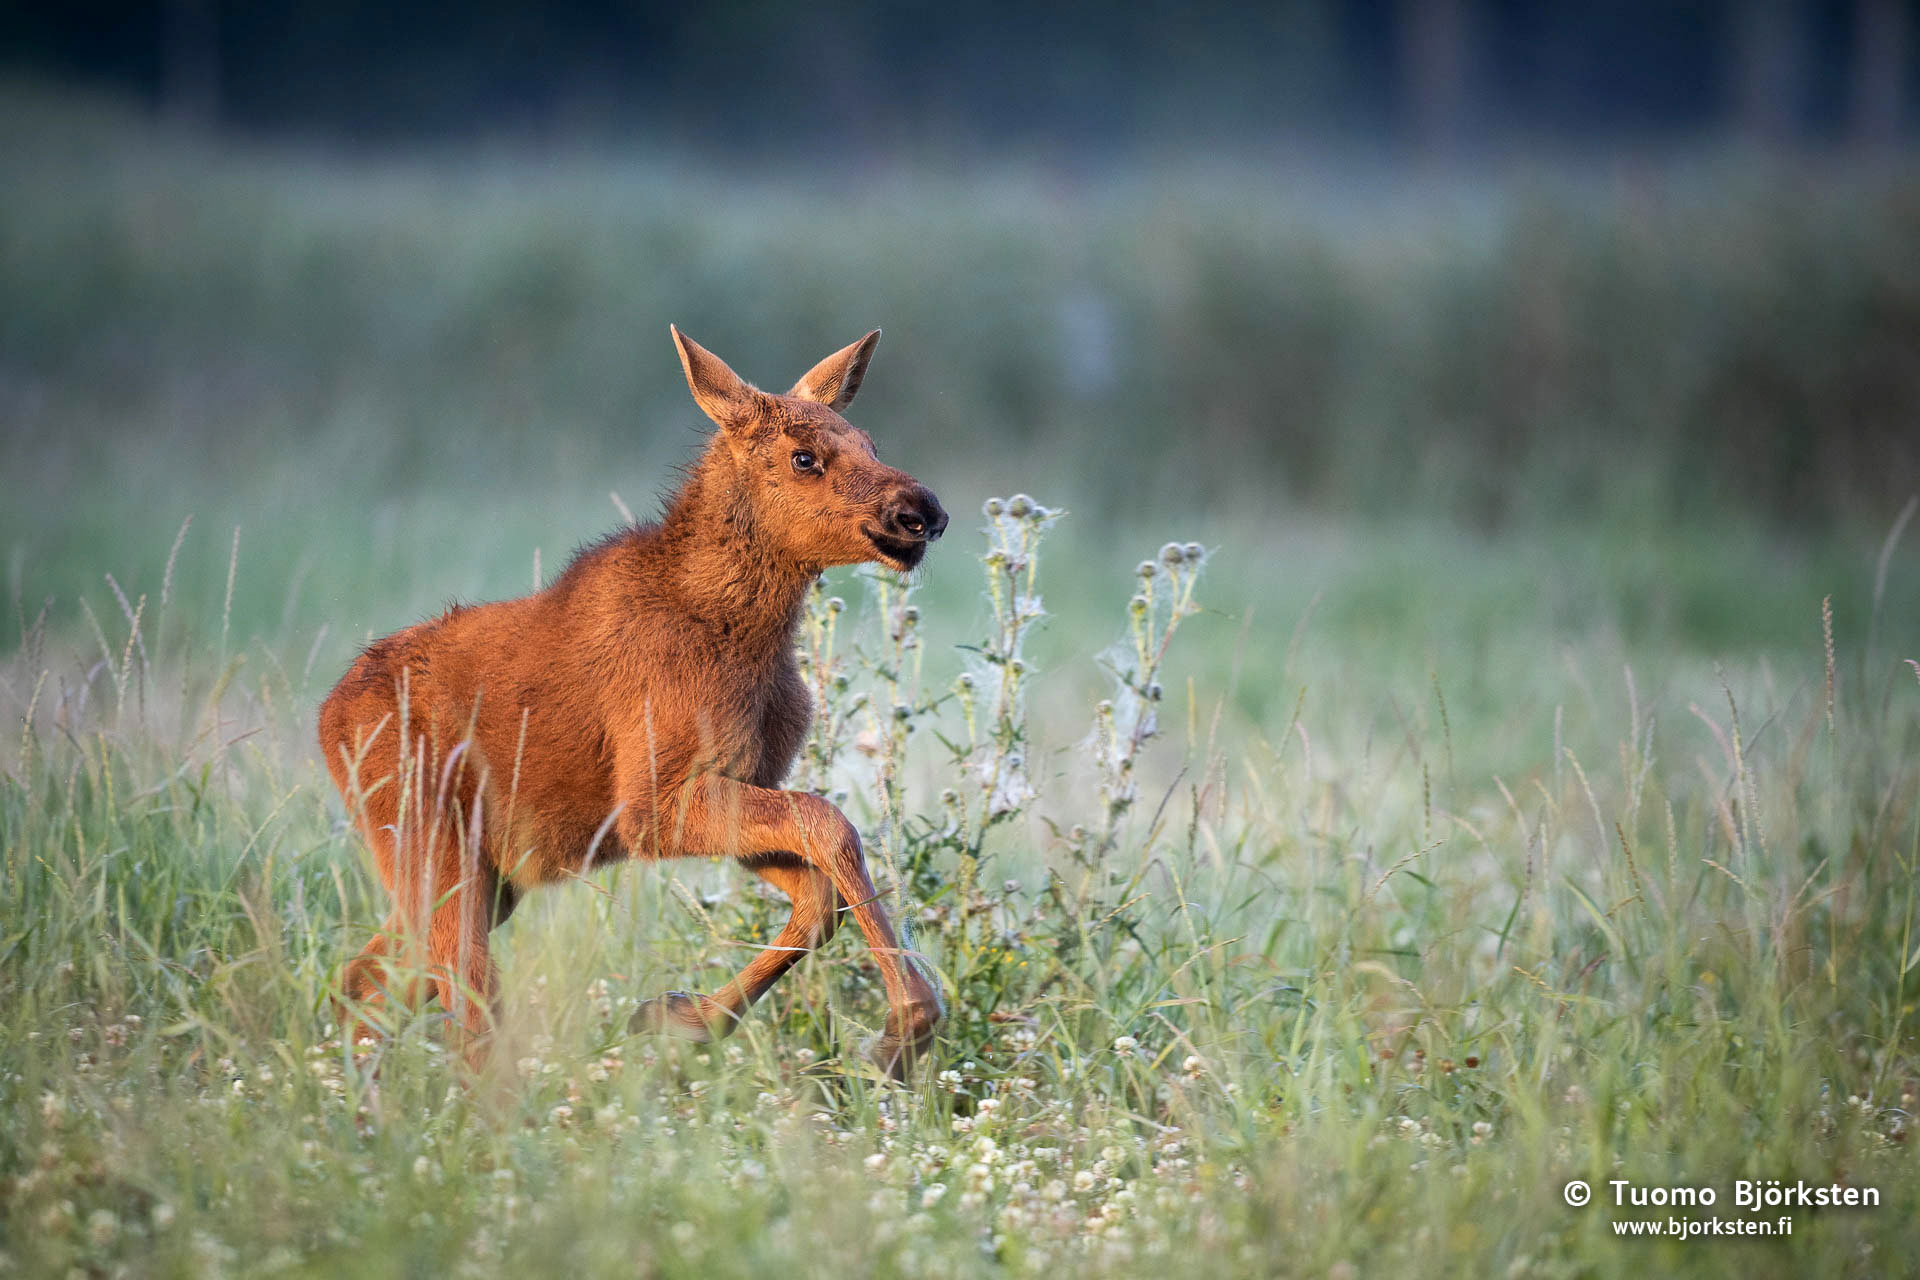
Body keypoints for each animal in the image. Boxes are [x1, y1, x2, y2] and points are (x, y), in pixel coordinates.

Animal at [320, 326, 952, 1074]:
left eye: (872, 443)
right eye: (805, 458)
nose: (922, 512)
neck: (743, 636)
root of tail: (328, 717)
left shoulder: (739, 781)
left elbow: (820, 891)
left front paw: (682, 1017)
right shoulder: (650, 802)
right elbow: (831, 826)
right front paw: (907, 1025)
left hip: (483, 875)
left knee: (368, 981)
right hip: (429, 840)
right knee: (465, 1007)